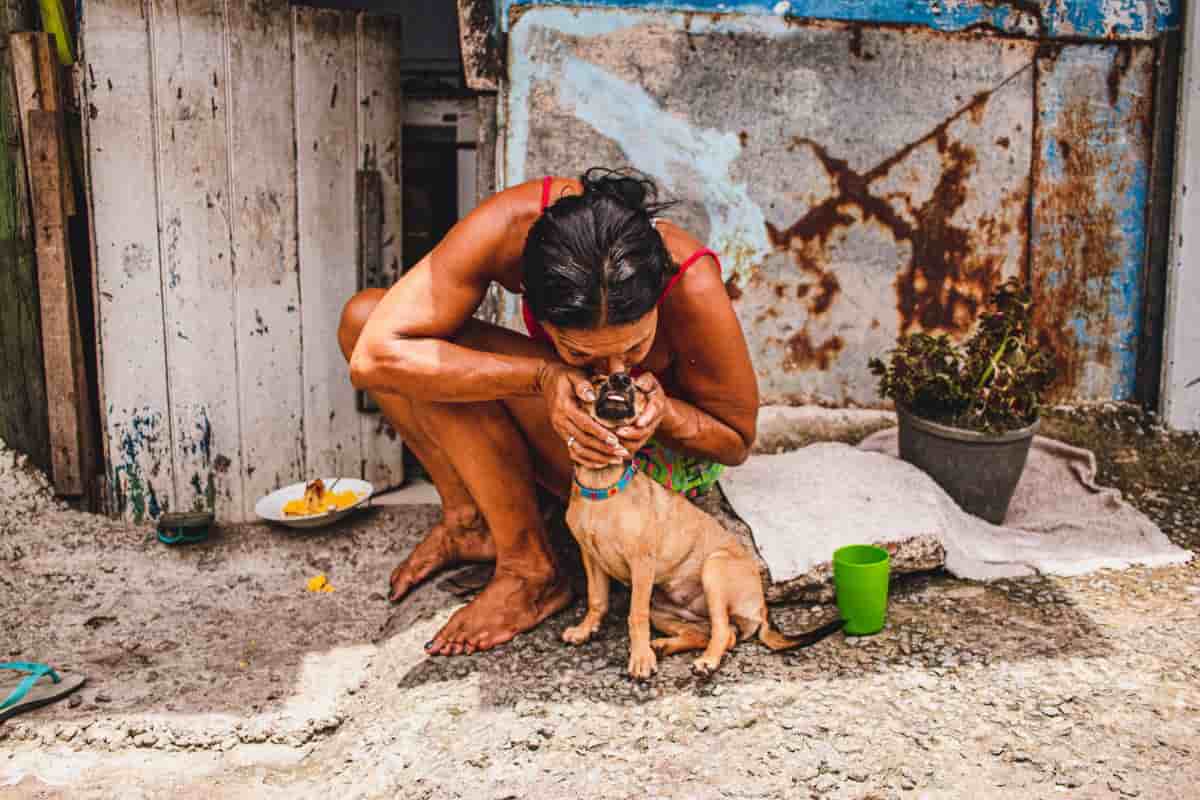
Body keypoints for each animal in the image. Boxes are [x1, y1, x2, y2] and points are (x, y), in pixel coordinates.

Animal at [561, 371, 844, 681]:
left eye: (638, 388)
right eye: (598, 381)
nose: (620, 378)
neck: (602, 486)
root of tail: (763, 609)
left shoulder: (642, 563)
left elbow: (635, 616)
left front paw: (640, 659)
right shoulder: (591, 557)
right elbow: (596, 600)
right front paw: (585, 630)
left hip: (713, 571)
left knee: (723, 633)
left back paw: (705, 661)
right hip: (664, 610)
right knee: (707, 633)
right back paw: (664, 646)